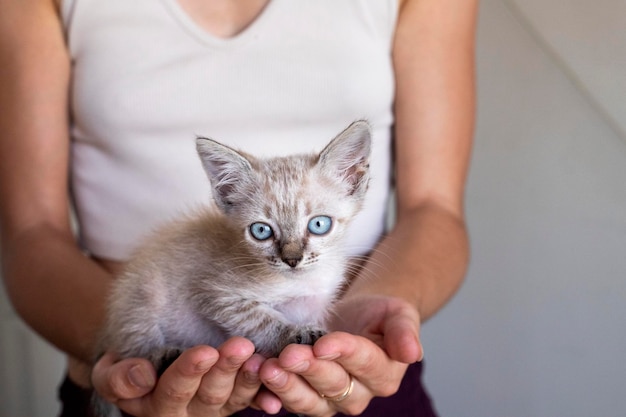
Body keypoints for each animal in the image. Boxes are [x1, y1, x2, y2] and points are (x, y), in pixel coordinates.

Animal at [94, 121, 368, 390]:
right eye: (261, 231)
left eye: (319, 224)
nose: (291, 260)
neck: (303, 282)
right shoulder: (215, 294)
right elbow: (261, 318)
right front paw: (295, 334)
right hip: (141, 297)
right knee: (134, 344)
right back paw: (163, 354)